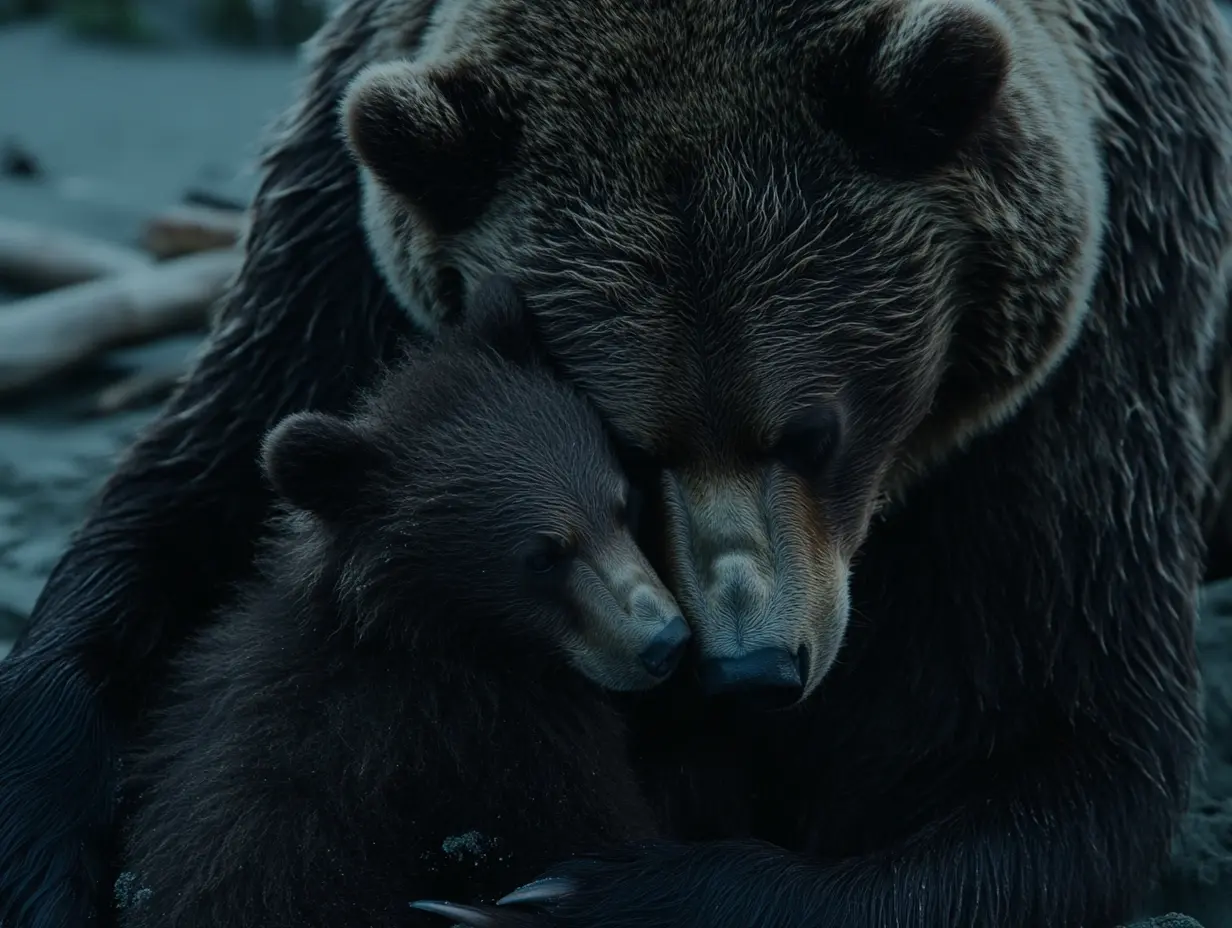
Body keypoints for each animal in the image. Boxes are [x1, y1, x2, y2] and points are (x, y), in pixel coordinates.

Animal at [115, 274, 685, 928]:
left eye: (621, 504)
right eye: (541, 555)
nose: (665, 642)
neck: (435, 629)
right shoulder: (503, 744)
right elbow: (592, 821)